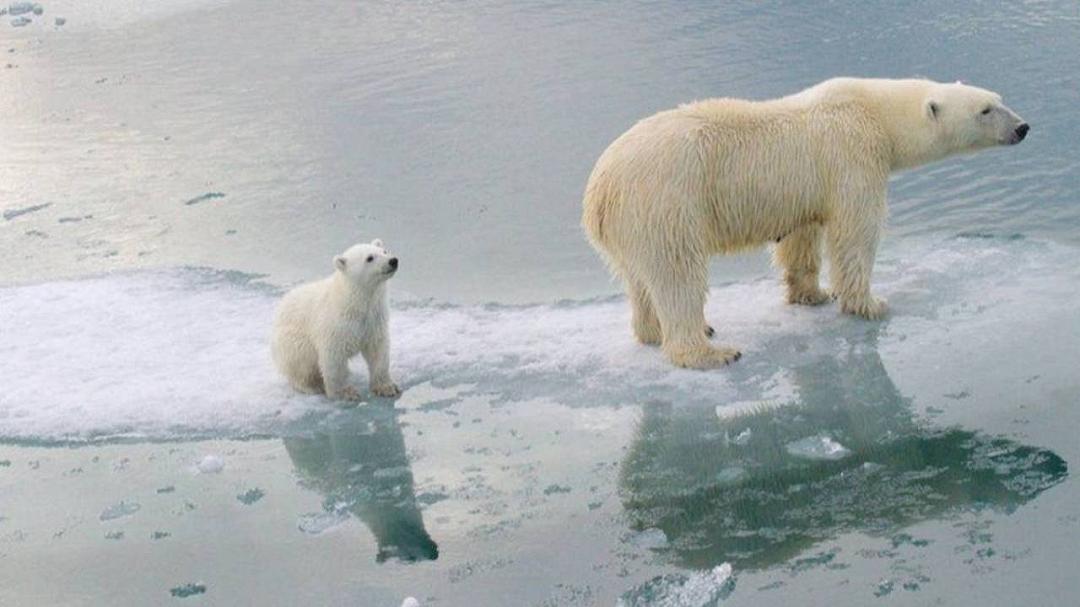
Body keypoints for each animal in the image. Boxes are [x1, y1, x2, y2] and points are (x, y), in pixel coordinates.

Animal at [583, 77, 1028, 367]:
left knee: (640, 279)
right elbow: (855, 232)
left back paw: (654, 331)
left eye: (998, 98)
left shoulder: (807, 189)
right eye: (985, 109)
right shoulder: (852, 156)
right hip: (666, 202)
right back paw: (709, 350)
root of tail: (600, 189)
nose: (1023, 127)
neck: (875, 111)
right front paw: (870, 303)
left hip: (632, 224)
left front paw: (813, 294)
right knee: (678, 274)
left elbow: (802, 237)